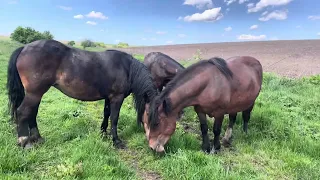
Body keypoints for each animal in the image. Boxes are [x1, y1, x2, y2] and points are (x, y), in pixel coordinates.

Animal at [6, 39, 158, 149]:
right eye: (156, 119)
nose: (156, 147)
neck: (127, 68)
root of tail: (24, 48)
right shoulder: (116, 98)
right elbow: (114, 118)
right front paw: (116, 141)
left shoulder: (108, 98)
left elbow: (106, 114)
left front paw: (103, 133)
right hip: (34, 93)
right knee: (23, 112)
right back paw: (25, 142)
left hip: (36, 94)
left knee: (32, 113)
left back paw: (38, 138)